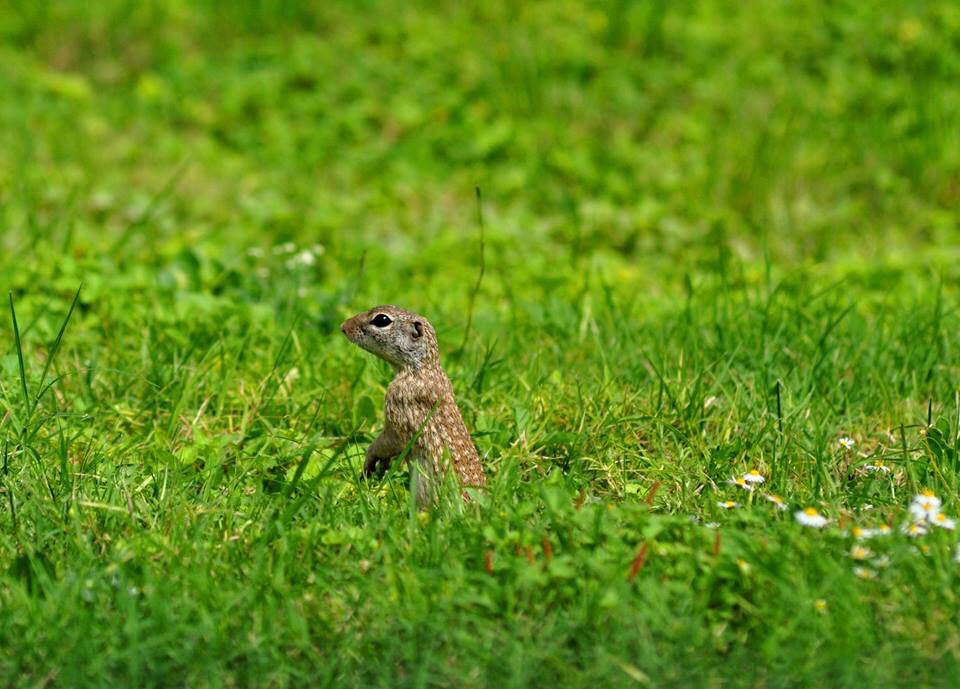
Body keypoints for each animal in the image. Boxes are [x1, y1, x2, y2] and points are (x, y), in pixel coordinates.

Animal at [340, 305, 486, 505]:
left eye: (382, 320)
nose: (343, 327)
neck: (422, 369)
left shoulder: (398, 406)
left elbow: (389, 441)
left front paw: (370, 461)